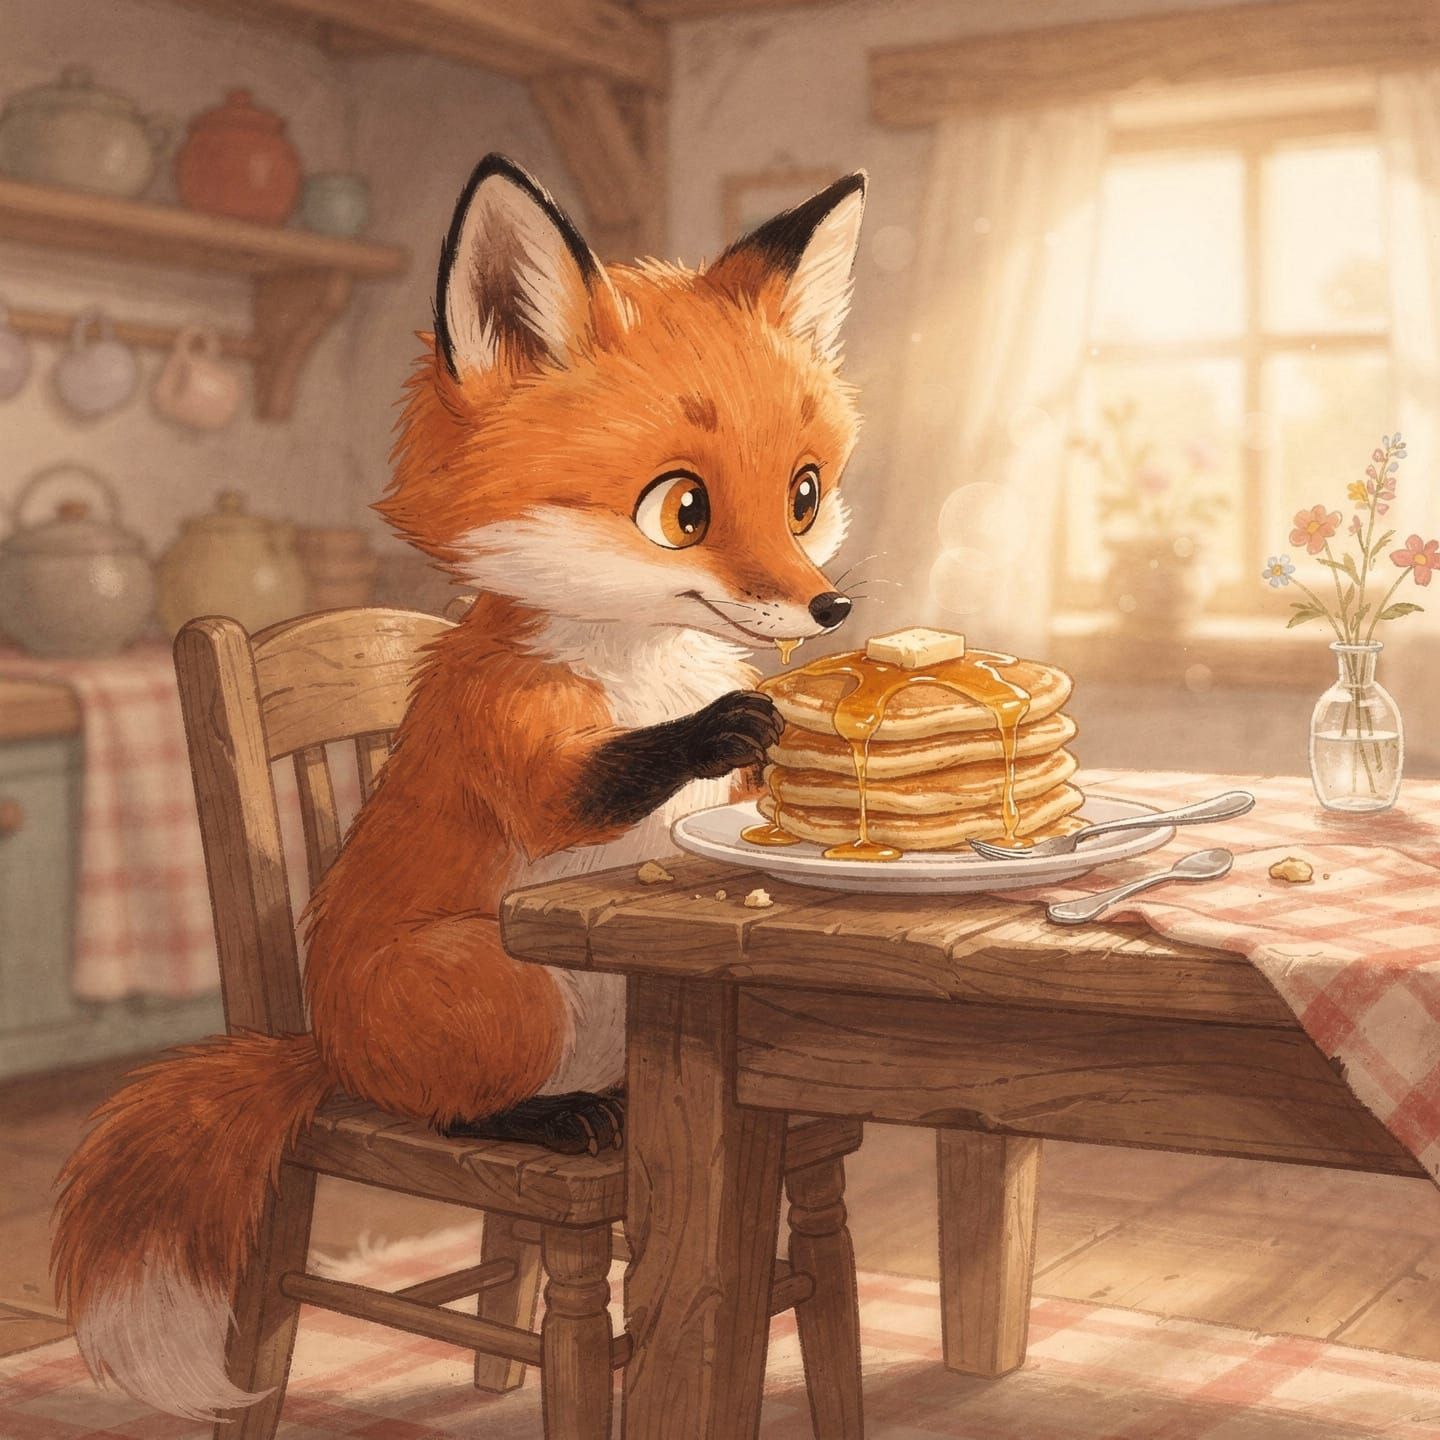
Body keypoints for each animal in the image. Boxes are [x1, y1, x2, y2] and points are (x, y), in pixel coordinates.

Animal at [50, 152, 866, 1420]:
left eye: (804, 493)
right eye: (681, 510)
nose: (831, 610)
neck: (637, 663)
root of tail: (322, 1056)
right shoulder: (511, 736)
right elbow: (597, 781)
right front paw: (733, 727)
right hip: (499, 983)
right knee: (448, 1104)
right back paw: (547, 1118)